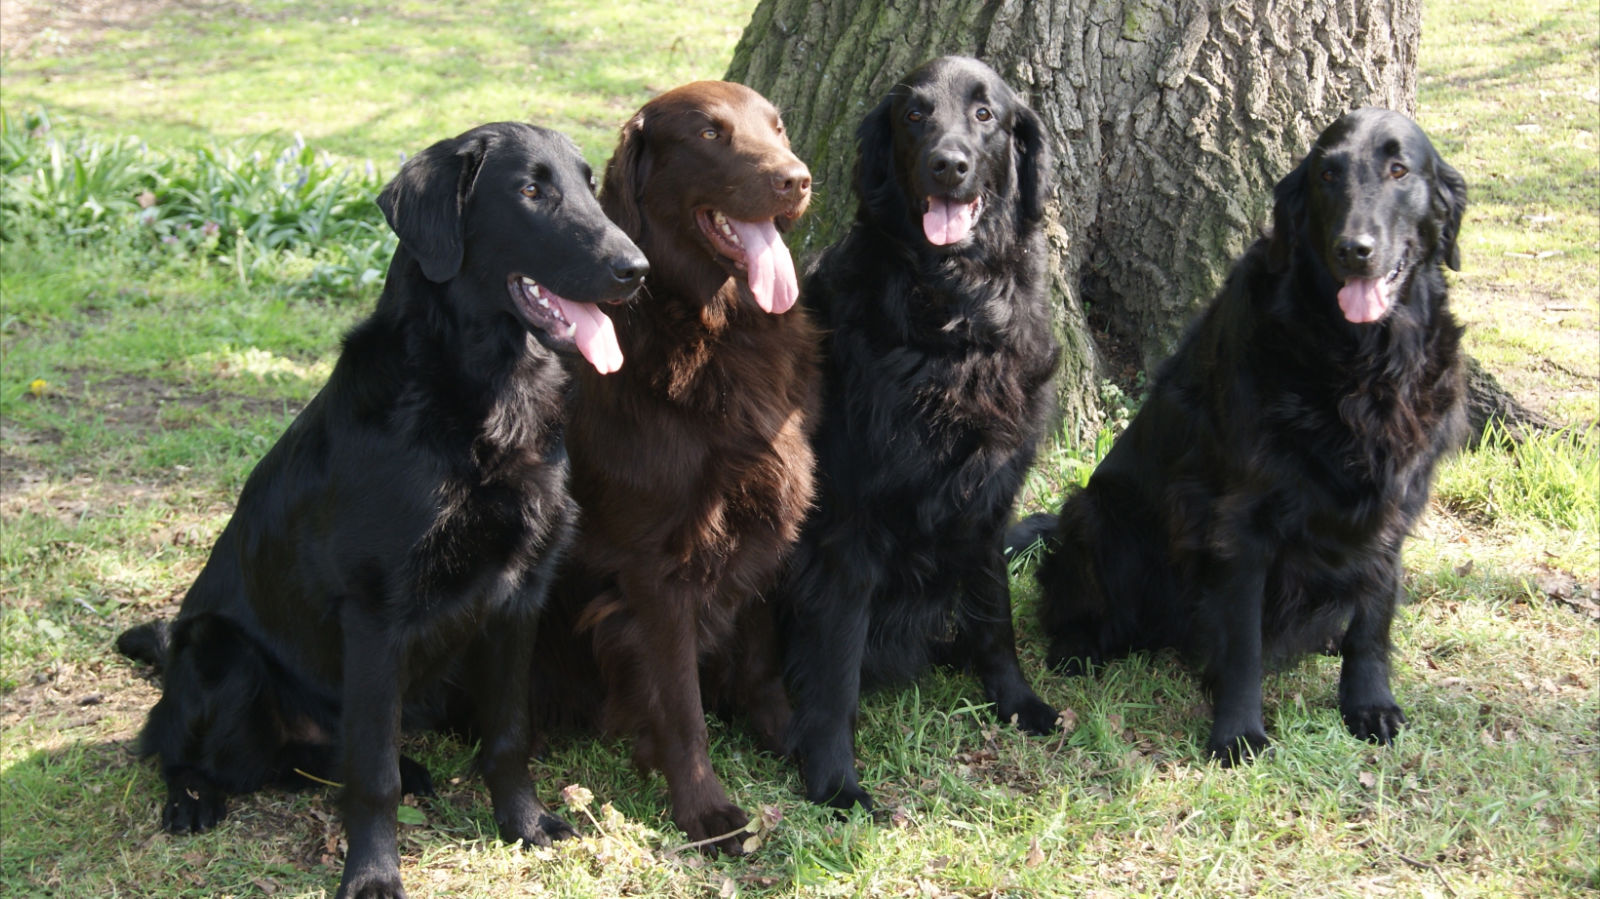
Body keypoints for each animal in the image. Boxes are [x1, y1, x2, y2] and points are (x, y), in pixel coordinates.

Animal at [116, 120, 646, 895]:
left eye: (588, 184)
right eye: (529, 190)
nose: (637, 269)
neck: (484, 399)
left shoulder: (521, 594)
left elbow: (508, 735)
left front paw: (523, 823)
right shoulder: (375, 613)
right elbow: (373, 776)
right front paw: (371, 872)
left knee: (300, 762)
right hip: (221, 652)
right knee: (180, 750)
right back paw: (191, 797)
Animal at [534, 82, 819, 844]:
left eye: (778, 127)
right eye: (710, 134)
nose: (798, 179)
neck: (709, 330)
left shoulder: (761, 521)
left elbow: (760, 653)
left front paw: (788, 735)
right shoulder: (655, 568)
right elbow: (681, 701)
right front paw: (703, 807)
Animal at [777, 57, 1062, 812]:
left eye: (986, 115)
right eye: (914, 115)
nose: (948, 165)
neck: (952, 316)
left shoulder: (989, 500)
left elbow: (995, 618)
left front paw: (1017, 702)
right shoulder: (847, 525)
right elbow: (836, 667)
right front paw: (835, 781)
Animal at [1017, 106, 1465, 761]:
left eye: (1399, 170)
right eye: (1327, 176)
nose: (1353, 250)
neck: (1359, 361)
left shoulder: (1392, 507)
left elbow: (1373, 619)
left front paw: (1369, 703)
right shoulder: (1240, 522)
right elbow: (1243, 643)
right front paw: (1238, 731)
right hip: (1096, 515)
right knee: (1071, 599)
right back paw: (1078, 648)